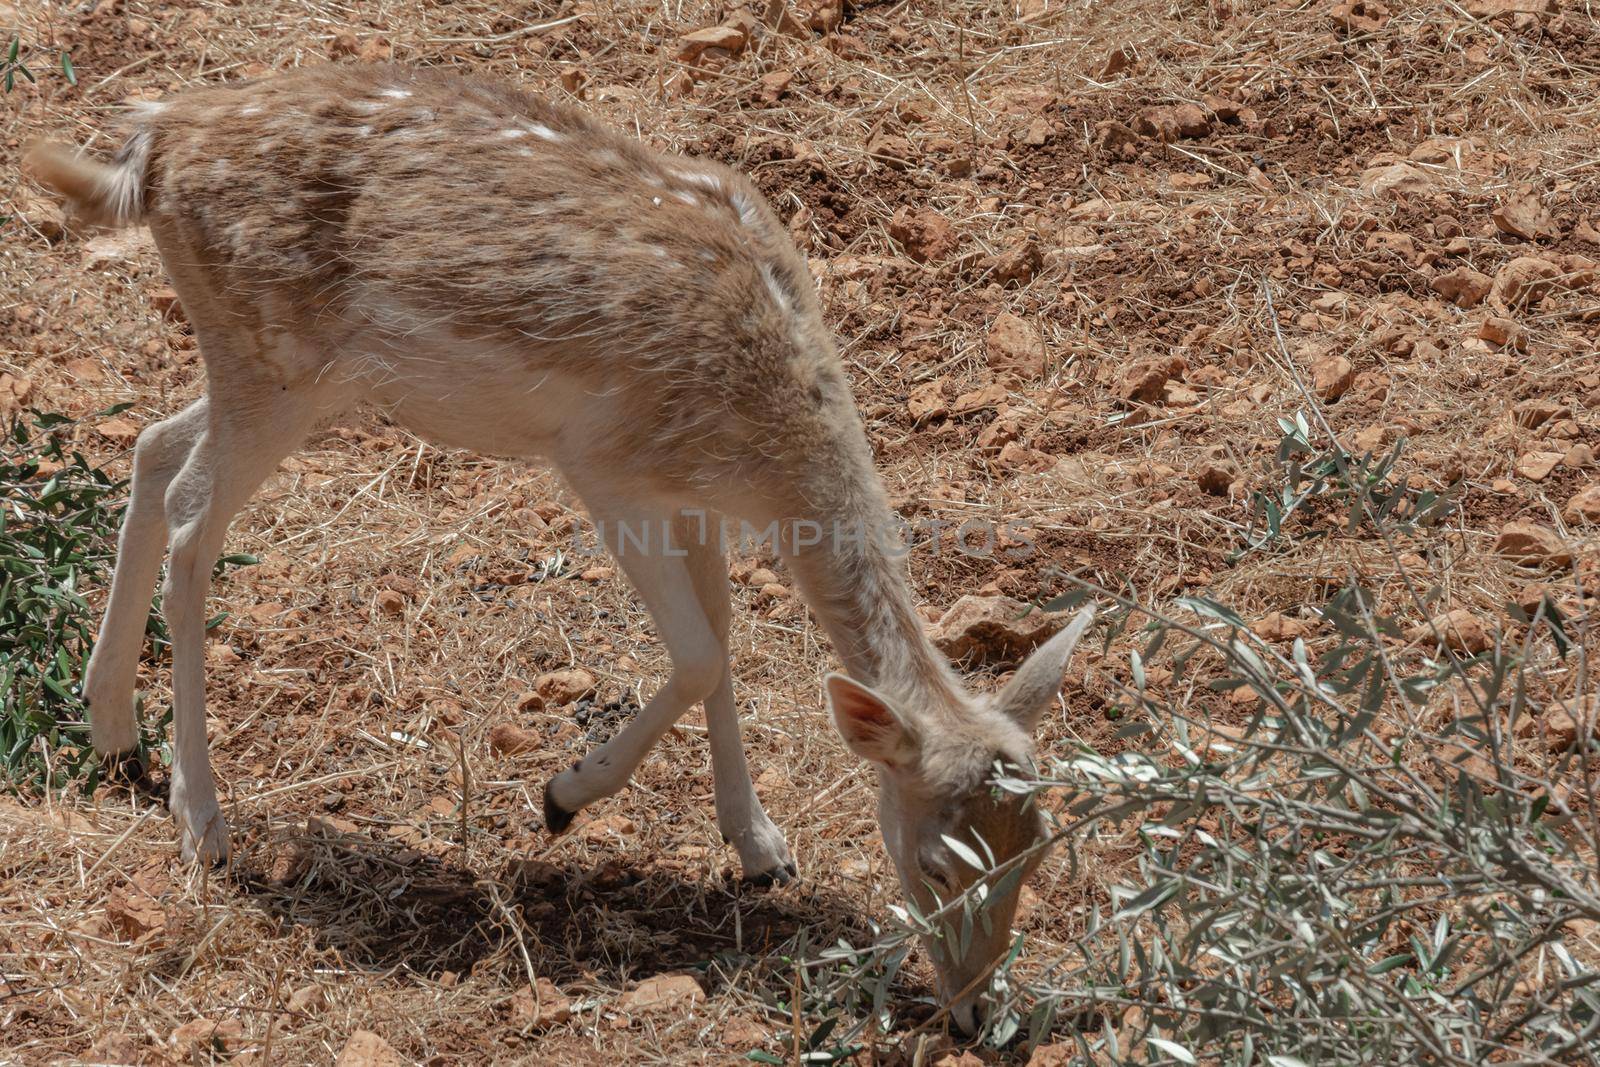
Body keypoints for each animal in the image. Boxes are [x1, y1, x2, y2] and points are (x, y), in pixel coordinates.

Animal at [25, 62, 1094, 1030]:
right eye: (933, 862)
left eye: (1039, 847)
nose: (974, 1013)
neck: (764, 438)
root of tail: (152, 145)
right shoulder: (604, 463)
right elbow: (700, 653)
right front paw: (562, 796)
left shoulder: (690, 497)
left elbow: (724, 635)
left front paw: (759, 846)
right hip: (272, 358)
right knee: (195, 516)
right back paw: (201, 818)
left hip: (296, 378)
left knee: (152, 448)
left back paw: (112, 728)